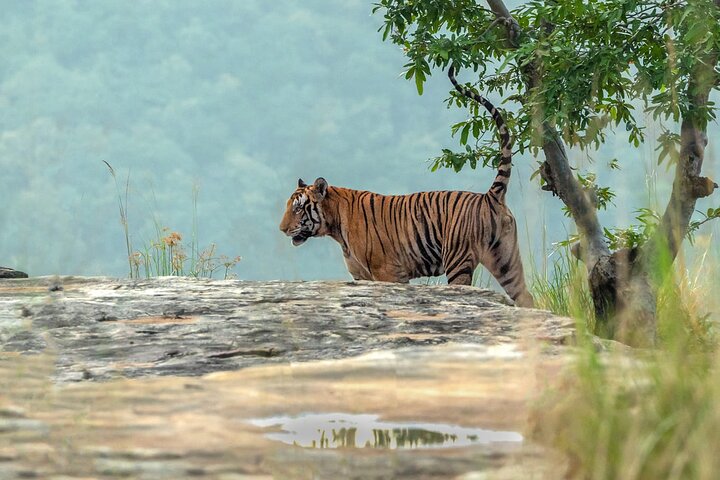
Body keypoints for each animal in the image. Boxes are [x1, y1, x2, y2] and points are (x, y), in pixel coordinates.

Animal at [278, 66, 534, 307]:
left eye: (298, 208)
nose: (281, 229)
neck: (336, 229)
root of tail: (490, 195)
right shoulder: (360, 276)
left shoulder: (388, 272)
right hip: (506, 259)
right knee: (525, 296)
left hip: (458, 258)